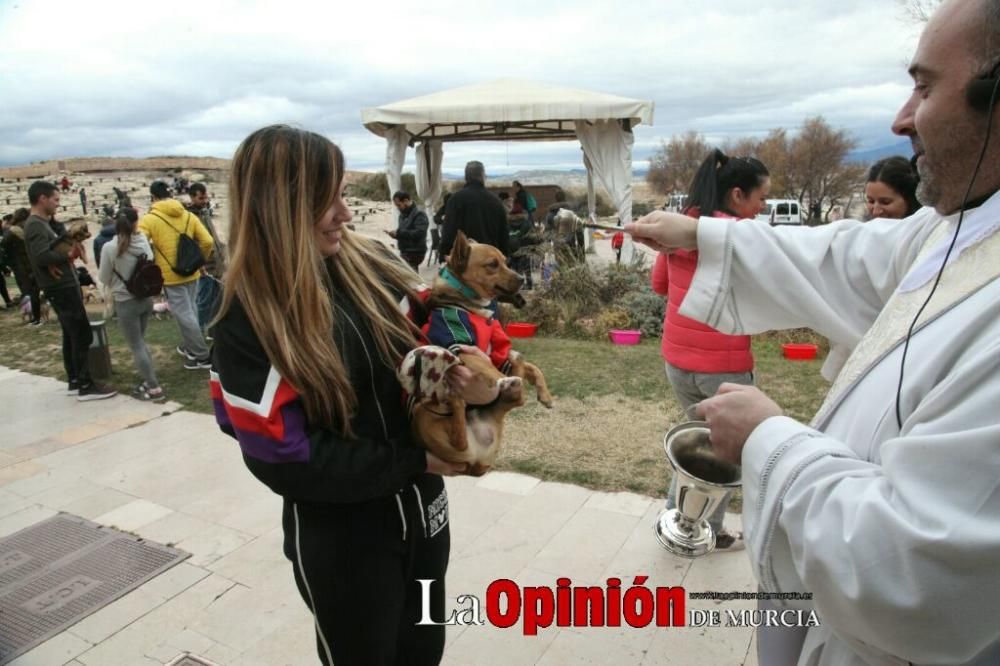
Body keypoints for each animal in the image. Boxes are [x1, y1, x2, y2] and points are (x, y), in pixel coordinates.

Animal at [406, 231, 556, 474]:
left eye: (505, 261)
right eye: (492, 265)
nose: (521, 279)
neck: (469, 305)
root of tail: (473, 463)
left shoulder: (496, 356)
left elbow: (533, 368)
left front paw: (545, 395)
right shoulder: (460, 347)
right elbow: (493, 369)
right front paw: (504, 380)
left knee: (516, 395)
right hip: (422, 413)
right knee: (459, 439)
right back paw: (463, 398)